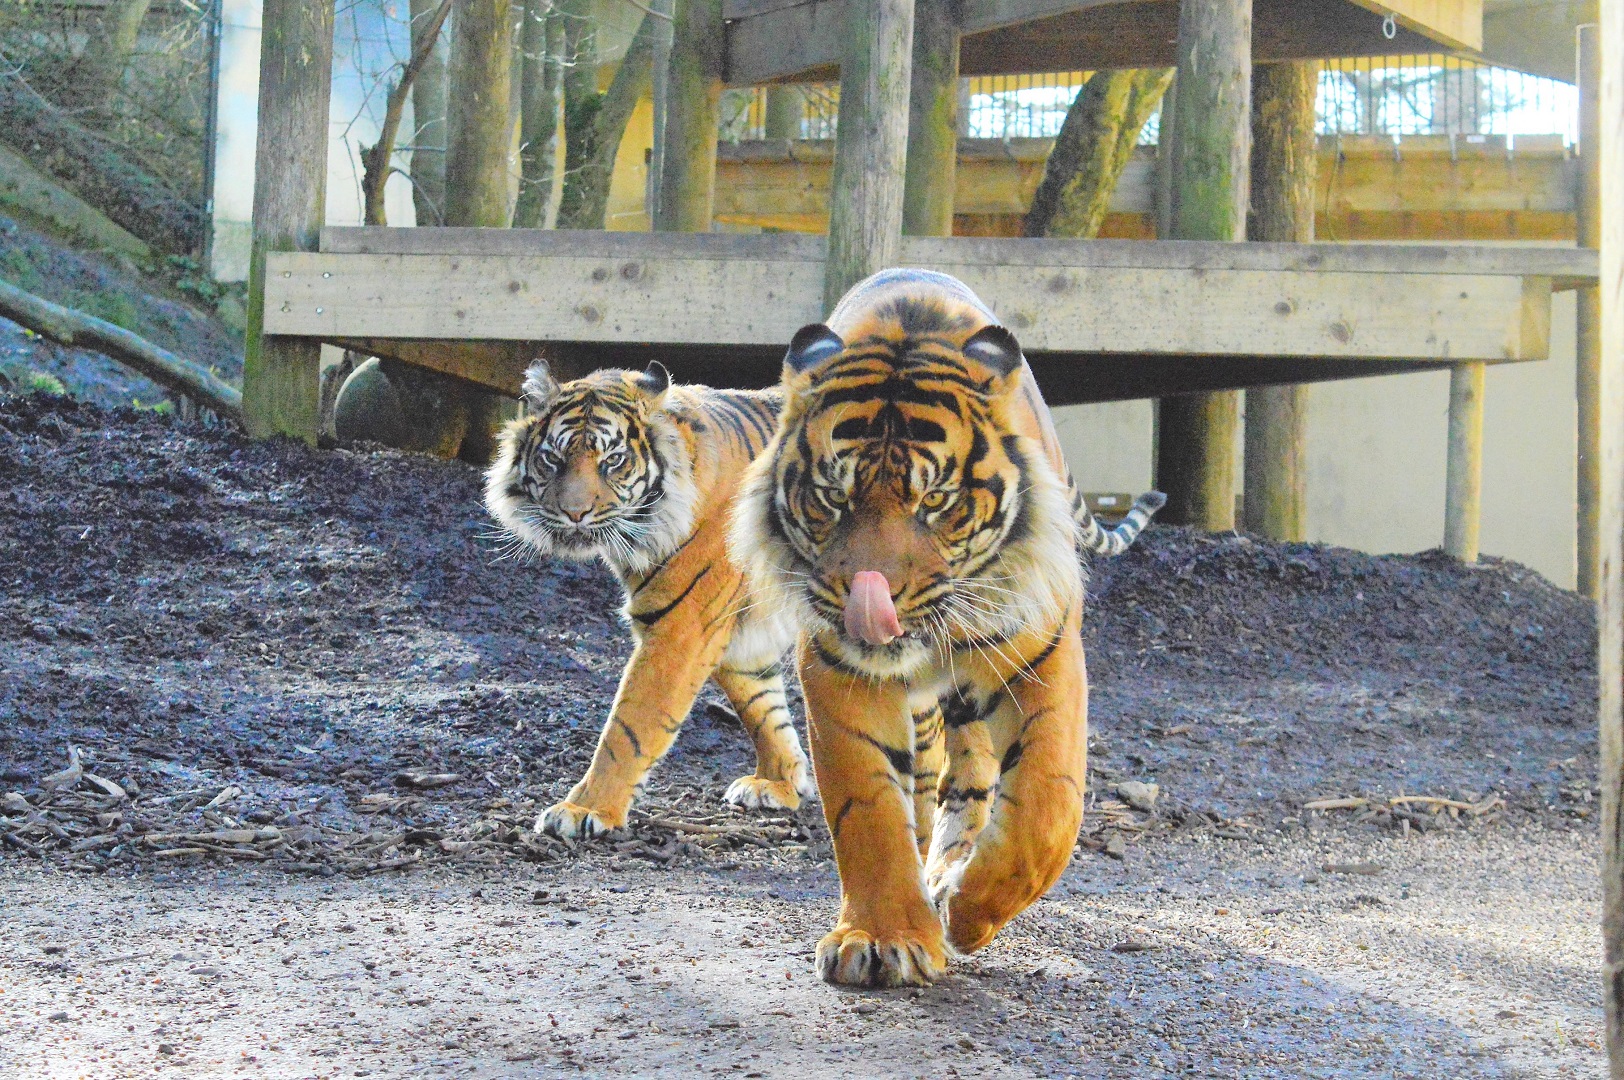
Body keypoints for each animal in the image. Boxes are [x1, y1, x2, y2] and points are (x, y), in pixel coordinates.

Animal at [484, 360, 814, 838]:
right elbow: (764, 710)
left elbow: (628, 728)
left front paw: (584, 809)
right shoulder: (740, 637)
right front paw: (780, 782)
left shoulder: (681, 628)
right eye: (553, 459)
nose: (574, 512)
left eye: (613, 461)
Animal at [730, 268, 1163, 987]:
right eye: (833, 497)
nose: (868, 601)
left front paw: (968, 915)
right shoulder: (837, 667)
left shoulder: (1041, 659)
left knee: (975, 781)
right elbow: (868, 808)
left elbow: (1047, 806)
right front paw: (882, 936)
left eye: (935, 501)